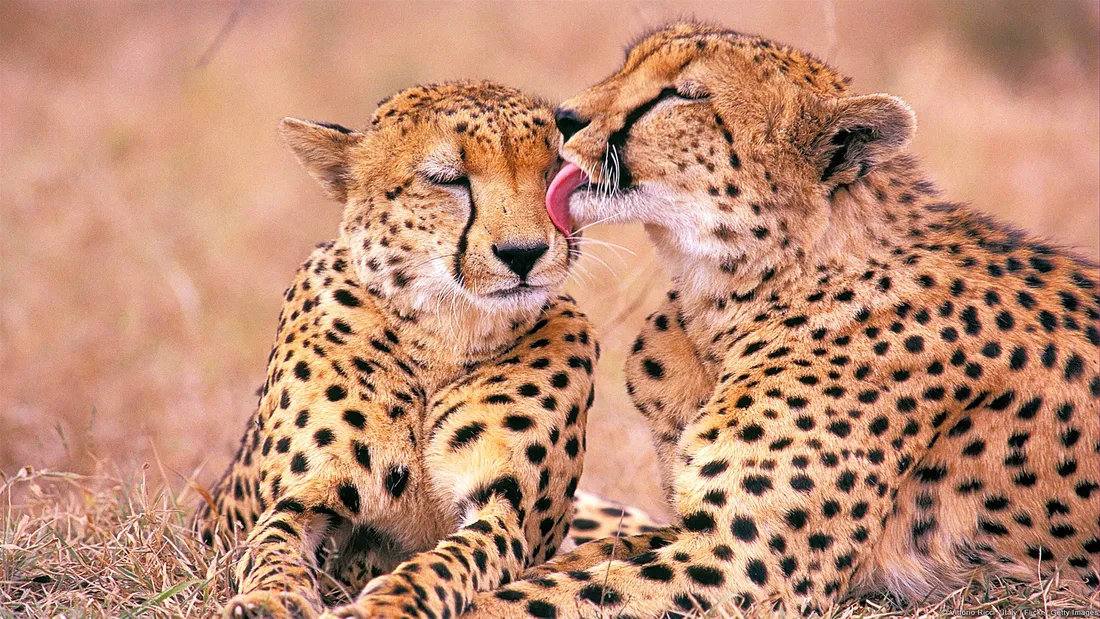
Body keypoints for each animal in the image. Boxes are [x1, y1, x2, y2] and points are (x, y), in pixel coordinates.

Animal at [192, 80, 628, 619]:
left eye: (554, 173)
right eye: (447, 179)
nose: (523, 253)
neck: (445, 334)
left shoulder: (505, 510)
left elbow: (448, 561)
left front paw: (389, 602)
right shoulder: (303, 497)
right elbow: (272, 547)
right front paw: (270, 600)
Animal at [458, 22, 1100, 618]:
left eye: (681, 95)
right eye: (629, 63)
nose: (562, 118)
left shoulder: (741, 565)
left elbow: (532, 598)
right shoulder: (693, 531)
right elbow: (569, 562)